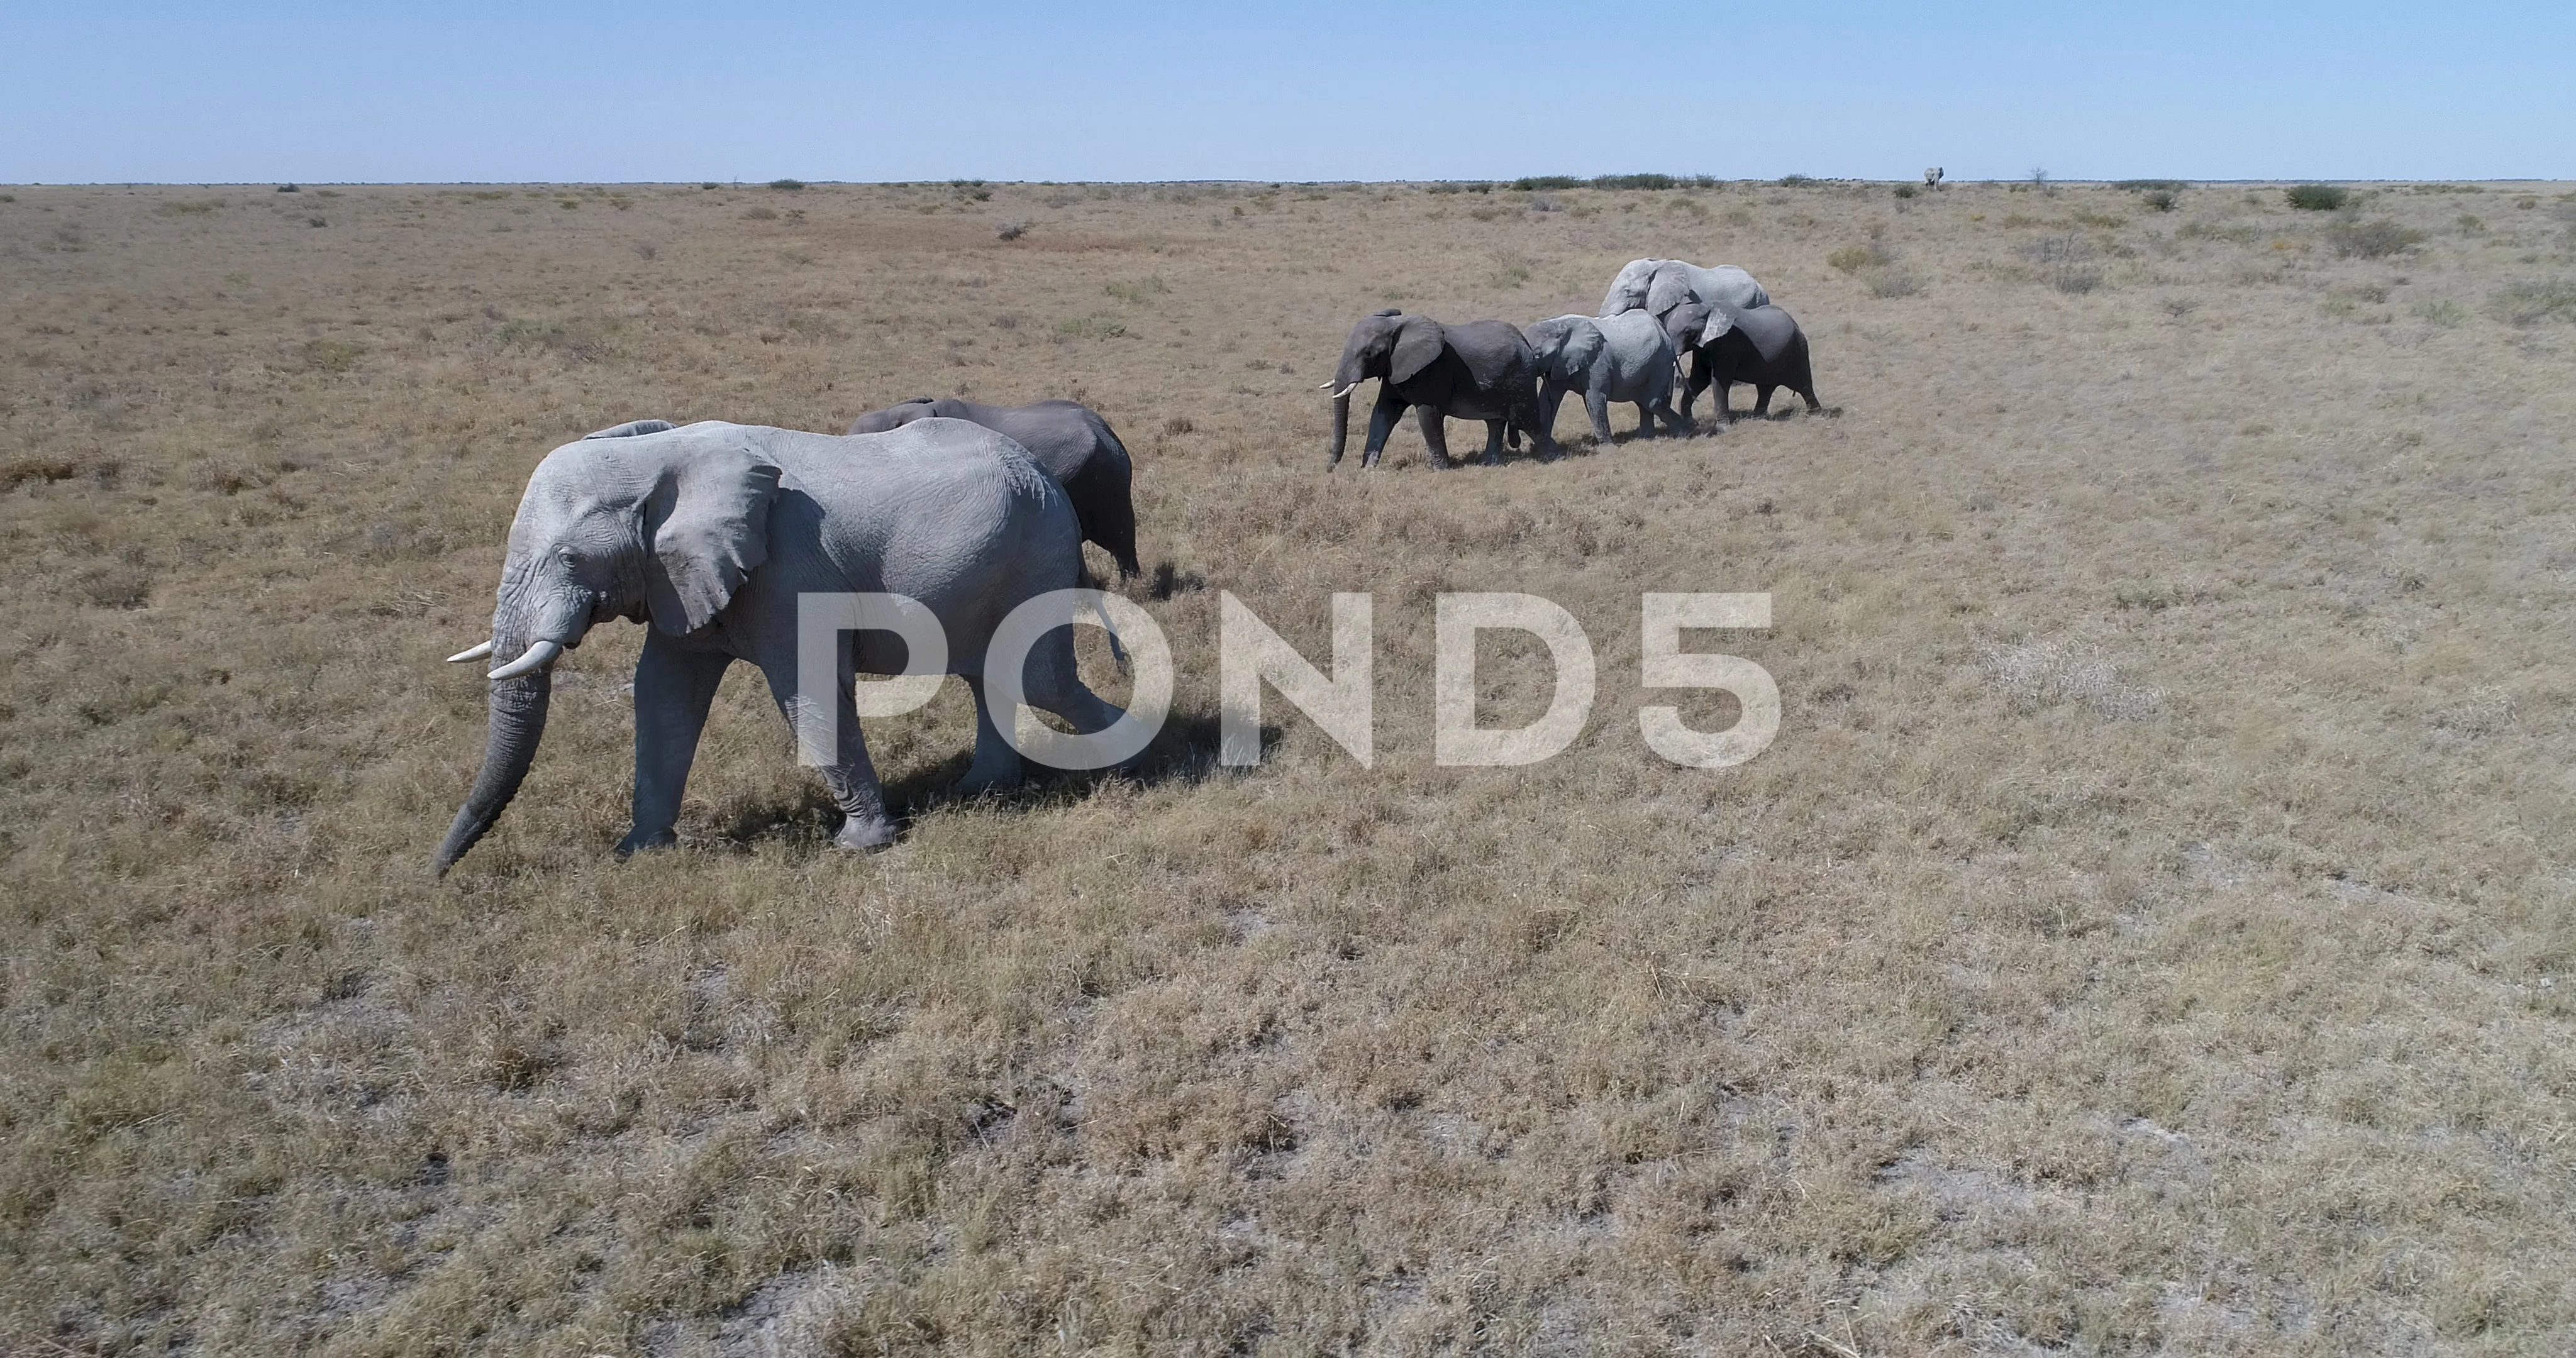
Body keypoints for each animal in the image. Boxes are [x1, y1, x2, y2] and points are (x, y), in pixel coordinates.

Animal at [433, 420, 1128, 876]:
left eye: (569, 558)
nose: (435, 873)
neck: (660, 454)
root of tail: (1043, 474)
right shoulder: (678, 576)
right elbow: (662, 693)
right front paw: (641, 853)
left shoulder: (790, 568)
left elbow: (809, 687)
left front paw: (860, 848)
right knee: (993, 676)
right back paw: (981, 790)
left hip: (1035, 551)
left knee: (1041, 678)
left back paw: (1130, 760)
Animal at [1319, 310, 1555, 472]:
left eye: (1368, 353)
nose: (1330, 469)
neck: (1397, 325)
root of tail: (1526, 342)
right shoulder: (1394, 369)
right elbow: (1383, 413)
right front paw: (1368, 470)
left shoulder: (1431, 371)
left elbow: (1427, 415)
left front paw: (1441, 470)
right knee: (1495, 423)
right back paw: (1488, 464)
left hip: (1521, 379)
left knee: (1528, 421)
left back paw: (1554, 458)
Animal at [1658, 301, 1823, 425]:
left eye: (1687, 332)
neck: (1707, 308)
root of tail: (1796, 324)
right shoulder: (1703, 349)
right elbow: (1699, 379)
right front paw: (1690, 421)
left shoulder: (1728, 344)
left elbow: (1720, 381)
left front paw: (1723, 428)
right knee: (1765, 389)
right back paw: (1758, 418)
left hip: (1798, 350)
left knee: (1804, 386)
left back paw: (1816, 415)